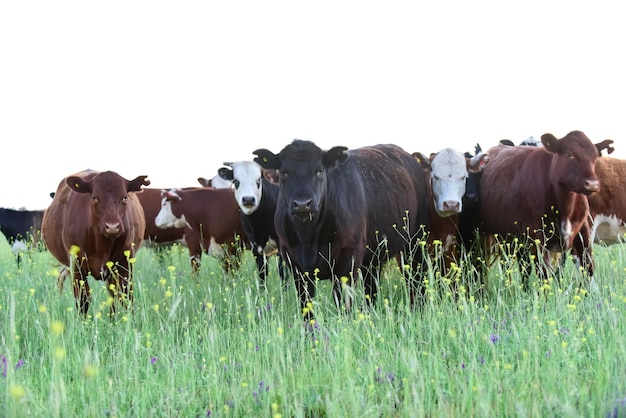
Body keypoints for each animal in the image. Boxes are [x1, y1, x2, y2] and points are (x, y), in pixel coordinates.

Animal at [42, 168, 150, 316]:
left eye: (125, 197)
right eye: (94, 197)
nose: (112, 227)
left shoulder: (125, 263)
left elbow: (127, 297)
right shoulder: (76, 266)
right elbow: (83, 301)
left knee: (112, 295)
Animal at [252, 142, 428, 322]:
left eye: (320, 170)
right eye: (284, 172)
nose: (302, 204)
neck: (308, 238)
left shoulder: (348, 260)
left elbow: (343, 304)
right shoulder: (295, 265)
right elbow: (306, 307)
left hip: (414, 243)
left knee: (416, 279)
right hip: (373, 256)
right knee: (371, 287)